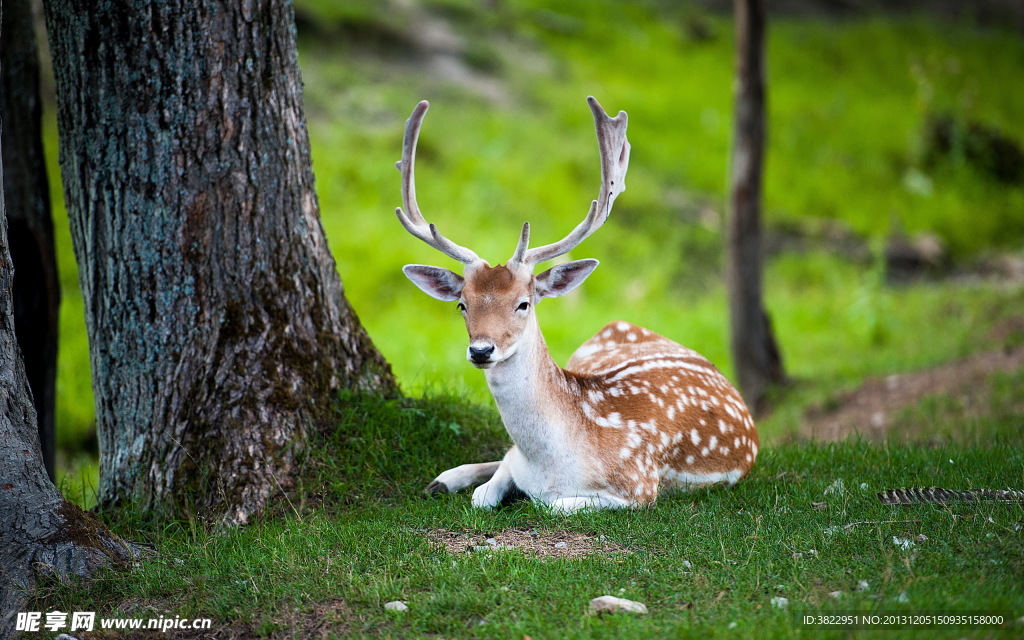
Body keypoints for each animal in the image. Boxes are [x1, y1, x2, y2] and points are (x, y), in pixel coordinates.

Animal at [395, 96, 757, 514]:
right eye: (462, 305)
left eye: (523, 304)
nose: (482, 350)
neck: (551, 462)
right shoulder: (517, 461)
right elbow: (486, 492)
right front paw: (459, 482)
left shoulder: (639, 487)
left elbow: (550, 504)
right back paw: (443, 479)